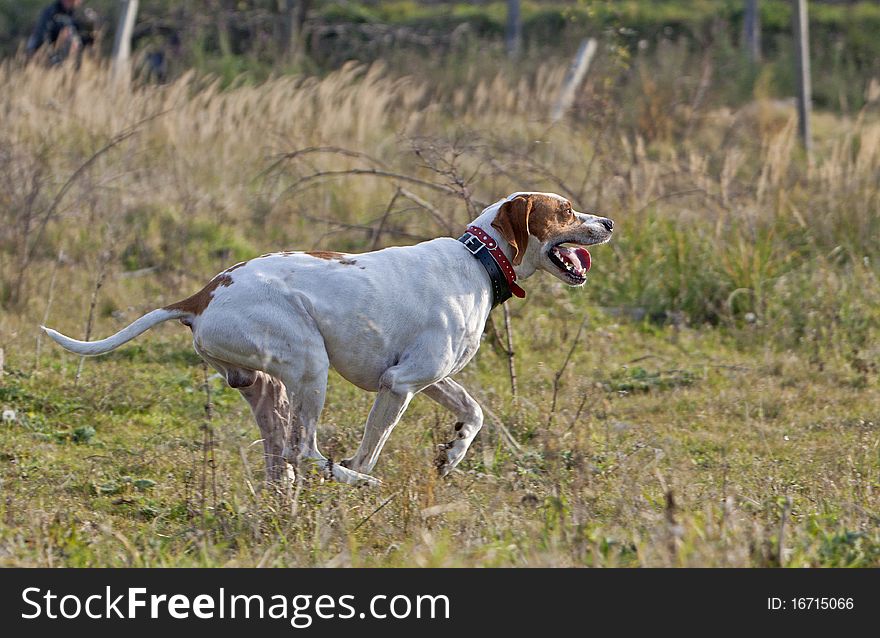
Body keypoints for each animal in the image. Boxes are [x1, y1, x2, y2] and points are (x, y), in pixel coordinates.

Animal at [44, 192, 616, 488]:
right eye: (566, 210)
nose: (609, 221)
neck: (478, 261)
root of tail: (203, 295)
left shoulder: (431, 379)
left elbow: (472, 413)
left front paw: (452, 455)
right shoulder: (400, 384)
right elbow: (371, 449)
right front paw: (365, 481)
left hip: (269, 386)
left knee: (282, 454)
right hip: (310, 365)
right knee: (306, 448)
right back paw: (350, 482)